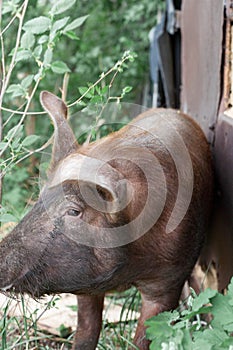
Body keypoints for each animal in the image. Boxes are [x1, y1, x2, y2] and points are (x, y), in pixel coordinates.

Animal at [0, 91, 213, 348]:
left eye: (74, 211)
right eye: (41, 197)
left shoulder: (168, 279)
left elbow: (145, 336)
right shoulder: (85, 284)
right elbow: (87, 330)